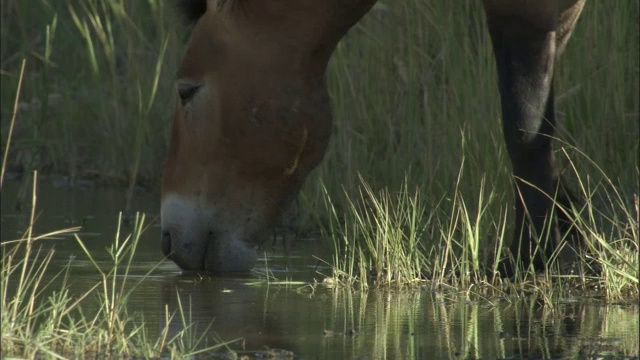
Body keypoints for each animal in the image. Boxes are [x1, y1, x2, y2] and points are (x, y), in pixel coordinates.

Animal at [160, 0, 584, 276]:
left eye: (186, 91)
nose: (167, 242)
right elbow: (540, 124)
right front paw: (567, 230)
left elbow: (524, 127)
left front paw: (529, 258)